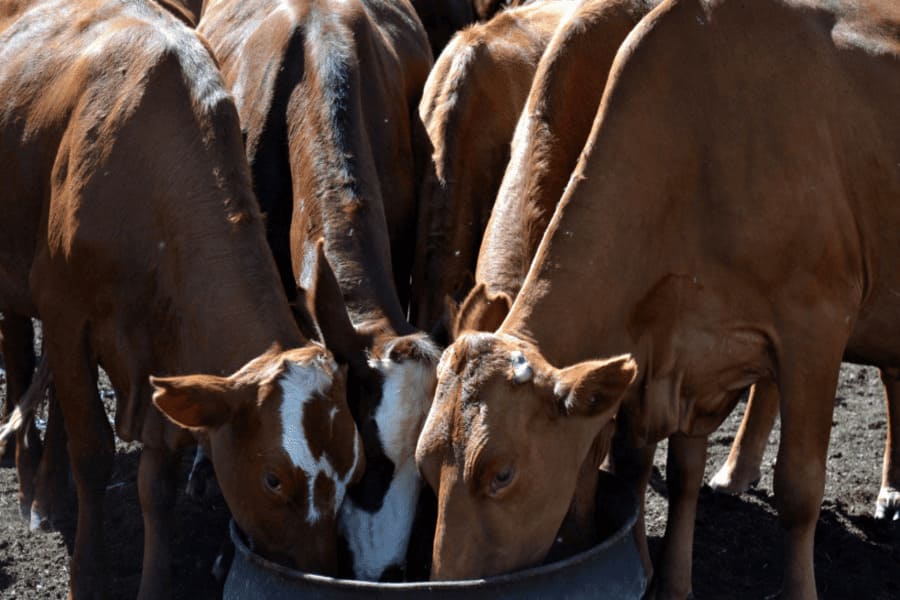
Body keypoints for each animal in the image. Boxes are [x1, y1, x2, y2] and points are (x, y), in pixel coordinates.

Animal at [0, 0, 365, 597]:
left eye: (352, 470)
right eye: (272, 479)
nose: (321, 570)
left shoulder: (167, 353)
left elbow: (158, 484)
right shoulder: (64, 312)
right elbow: (93, 452)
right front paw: (89, 576)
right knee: (18, 353)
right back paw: (34, 487)